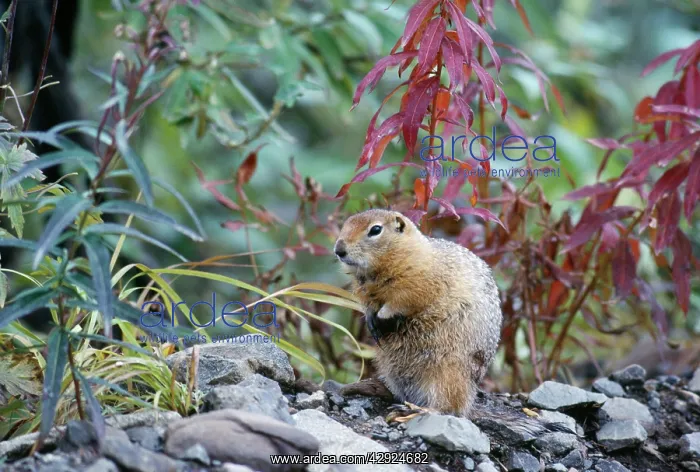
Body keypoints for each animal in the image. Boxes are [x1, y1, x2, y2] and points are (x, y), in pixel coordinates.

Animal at [333, 209, 567, 438]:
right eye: (346, 223)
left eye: (375, 230)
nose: (338, 249)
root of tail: (470, 400)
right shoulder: (365, 291)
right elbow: (368, 304)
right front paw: (371, 320)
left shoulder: (417, 279)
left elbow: (405, 299)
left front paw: (384, 316)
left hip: (447, 374)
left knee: (449, 408)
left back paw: (416, 411)